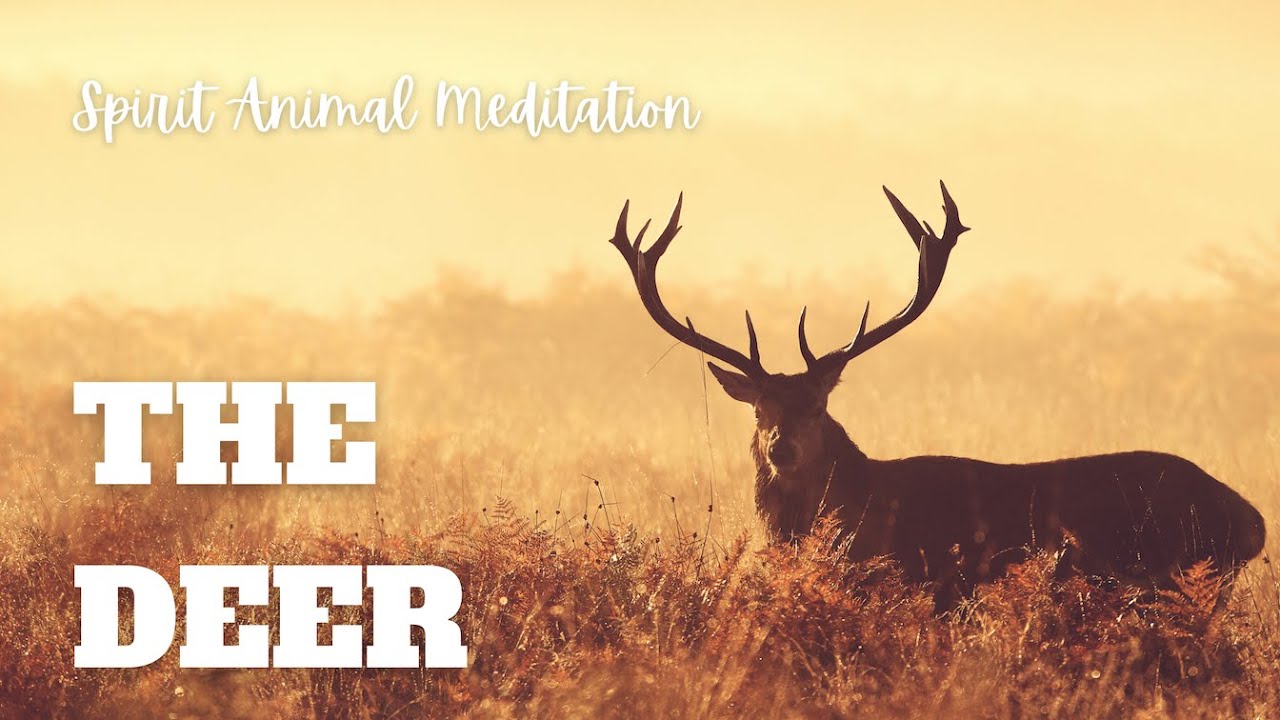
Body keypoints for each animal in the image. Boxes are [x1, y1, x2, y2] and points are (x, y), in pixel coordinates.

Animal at [608, 182, 1266, 607]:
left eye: (818, 406)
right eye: (759, 408)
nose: (781, 448)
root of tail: (1252, 521)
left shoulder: (929, 582)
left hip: (1175, 574)